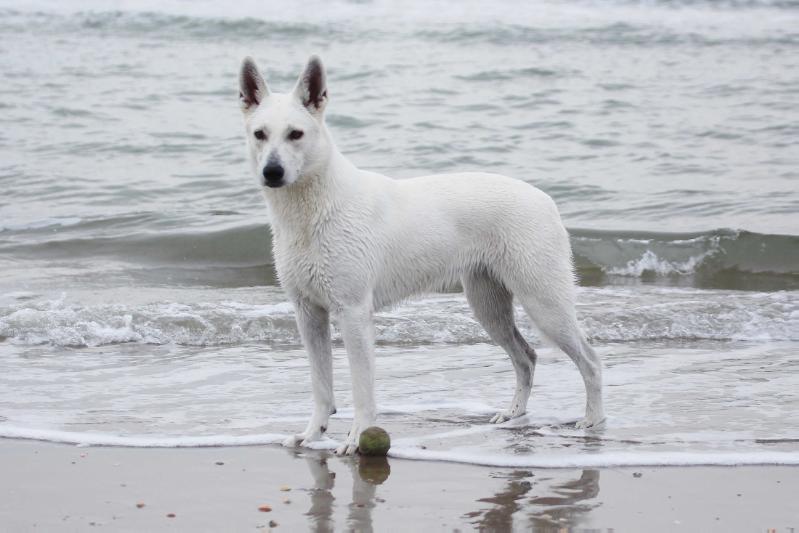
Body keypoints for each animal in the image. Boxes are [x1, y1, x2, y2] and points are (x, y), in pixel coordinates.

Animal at [238, 55, 608, 454]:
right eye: (259, 134)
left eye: (296, 134)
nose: (272, 172)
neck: (314, 209)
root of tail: (545, 200)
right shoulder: (308, 314)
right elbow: (321, 387)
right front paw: (312, 434)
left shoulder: (353, 313)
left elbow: (362, 388)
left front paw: (356, 437)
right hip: (488, 306)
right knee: (526, 357)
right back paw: (514, 414)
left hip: (543, 302)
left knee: (590, 362)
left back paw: (593, 421)